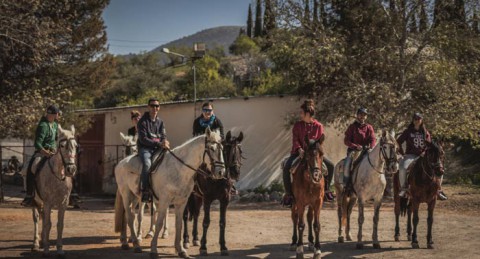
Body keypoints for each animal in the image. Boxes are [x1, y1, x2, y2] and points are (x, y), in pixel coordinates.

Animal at [30, 125, 78, 258]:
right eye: (61, 145)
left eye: (76, 145)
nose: (71, 169)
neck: (57, 175)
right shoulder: (48, 203)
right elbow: (48, 224)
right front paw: (46, 250)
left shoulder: (63, 204)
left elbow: (59, 225)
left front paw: (59, 249)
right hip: (36, 201)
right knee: (36, 218)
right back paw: (36, 244)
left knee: (42, 217)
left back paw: (42, 241)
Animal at [147, 129, 224, 258]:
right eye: (212, 148)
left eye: (222, 148)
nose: (221, 172)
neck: (179, 169)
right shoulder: (165, 200)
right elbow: (159, 223)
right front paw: (153, 249)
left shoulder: (181, 202)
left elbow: (179, 224)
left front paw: (181, 249)